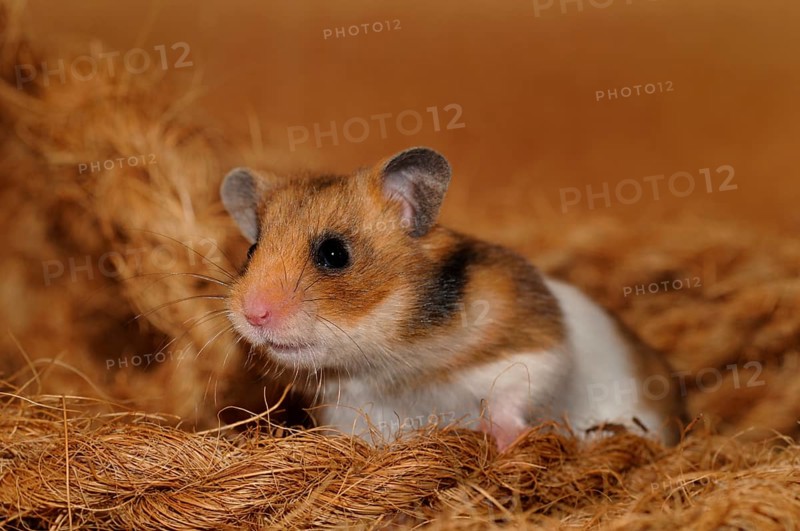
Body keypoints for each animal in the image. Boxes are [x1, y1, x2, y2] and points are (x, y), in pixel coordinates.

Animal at [220, 147, 685, 450]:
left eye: (334, 254)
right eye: (251, 250)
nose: (252, 314)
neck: (387, 360)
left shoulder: (533, 339)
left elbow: (514, 389)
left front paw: (504, 443)